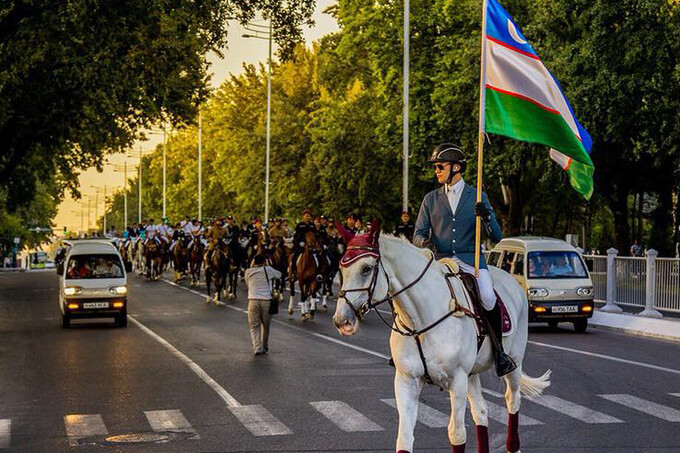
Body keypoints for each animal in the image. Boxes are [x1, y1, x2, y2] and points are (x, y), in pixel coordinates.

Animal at [332, 223, 548, 452]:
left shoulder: (458, 380)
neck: (420, 321)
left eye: (366, 268)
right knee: (481, 411)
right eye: (341, 269)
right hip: (472, 373)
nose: (341, 320)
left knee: (513, 400)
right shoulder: (406, 380)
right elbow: (404, 437)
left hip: (514, 362)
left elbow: (457, 433)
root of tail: (511, 280)